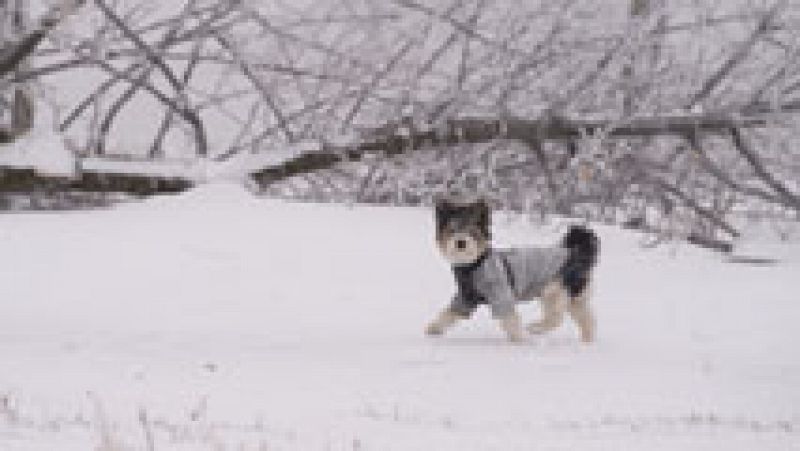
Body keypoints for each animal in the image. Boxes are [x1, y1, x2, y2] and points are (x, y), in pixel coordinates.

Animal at [428, 197, 596, 342]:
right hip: (574, 298)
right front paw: (434, 328)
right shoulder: (466, 297)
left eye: (472, 231)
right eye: (452, 230)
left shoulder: (500, 293)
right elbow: (450, 313)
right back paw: (586, 341)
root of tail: (576, 253)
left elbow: (510, 320)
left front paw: (520, 340)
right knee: (586, 319)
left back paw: (535, 328)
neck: (474, 265)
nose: (461, 242)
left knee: (557, 317)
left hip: (556, 290)